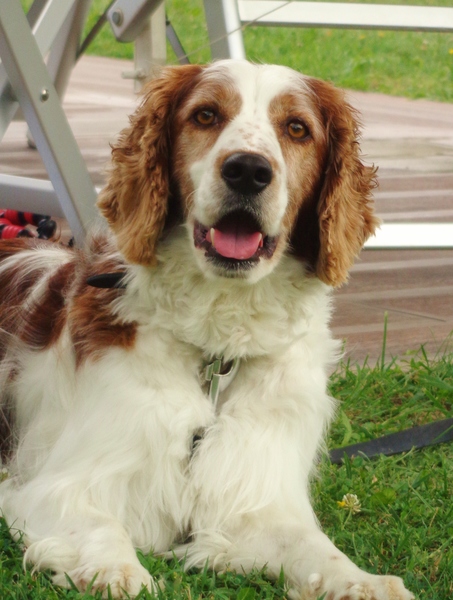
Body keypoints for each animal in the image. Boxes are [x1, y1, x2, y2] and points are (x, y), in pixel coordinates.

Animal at [0, 62, 414, 600]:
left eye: (297, 128)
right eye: (205, 115)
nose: (248, 170)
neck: (217, 348)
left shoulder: (251, 496)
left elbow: (315, 548)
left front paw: (363, 582)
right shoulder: (53, 484)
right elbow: (100, 525)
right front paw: (117, 569)